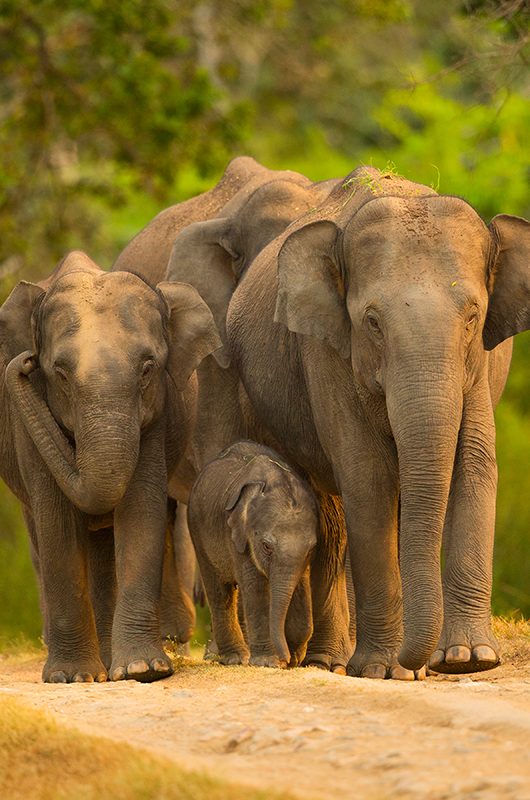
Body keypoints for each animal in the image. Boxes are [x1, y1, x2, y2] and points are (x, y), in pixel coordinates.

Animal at [0, 250, 221, 680]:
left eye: (148, 368)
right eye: (59, 372)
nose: (25, 361)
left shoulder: (155, 415)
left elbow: (140, 510)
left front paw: (143, 670)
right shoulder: (25, 423)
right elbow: (56, 520)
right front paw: (71, 677)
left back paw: (107, 661)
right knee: (41, 533)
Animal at [188, 440, 316, 664]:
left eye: (311, 550)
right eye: (266, 546)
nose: (285, 659)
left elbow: (301, 585)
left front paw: (294, 658)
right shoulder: (236, 535)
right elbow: (255, 587)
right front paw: (268, 662)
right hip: (197, 529)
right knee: (220, 592)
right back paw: (236, 658)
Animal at [208, 166, 524, 680]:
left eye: (473, 317)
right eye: (372, 322)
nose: (421, 664)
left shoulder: (479, 365)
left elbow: (474, 465)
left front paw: (469, 660)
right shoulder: (328, 352)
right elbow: (368, 478)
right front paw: (382, 670)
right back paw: (329, 662)